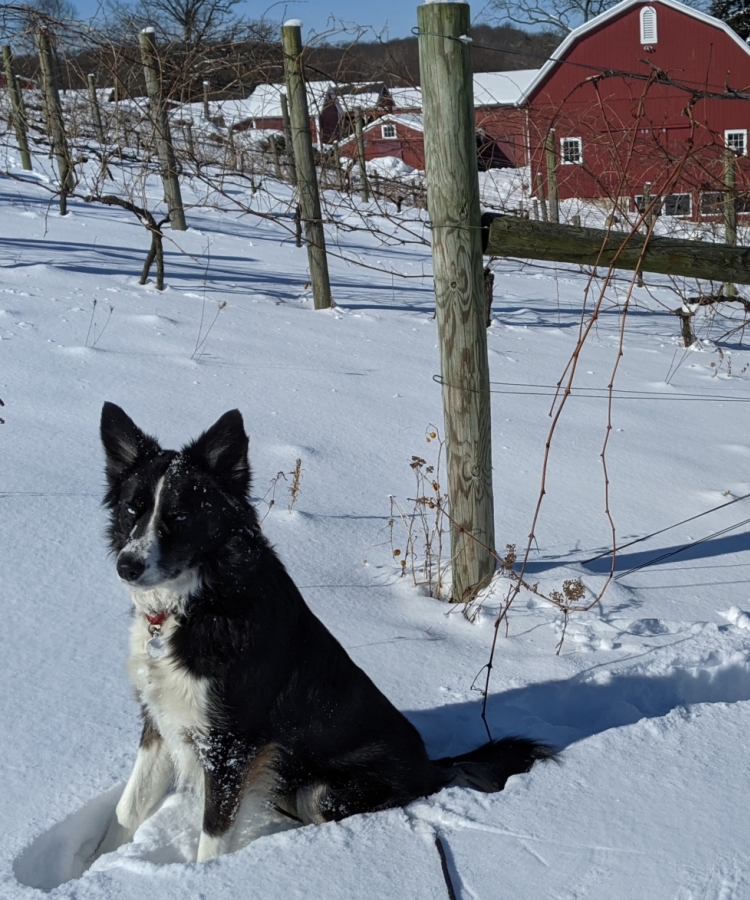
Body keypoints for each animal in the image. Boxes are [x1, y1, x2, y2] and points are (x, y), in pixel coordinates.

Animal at [92, 404, 552, 860]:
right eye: (132, 509)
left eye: (181, 515)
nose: (127, 567)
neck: (199, 600)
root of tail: (431, 768)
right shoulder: (159, 717)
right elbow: (127, 808)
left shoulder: (231, 744)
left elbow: (213, 836)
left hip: (323, 791)